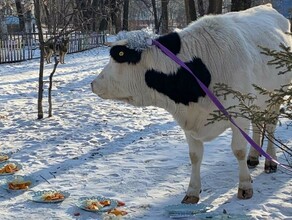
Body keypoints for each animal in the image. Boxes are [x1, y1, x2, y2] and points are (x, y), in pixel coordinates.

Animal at [92, 4, 292, 204]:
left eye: (117, 58)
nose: (93, 84)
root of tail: (267, 6)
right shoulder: (188, 119)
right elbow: (195, 156)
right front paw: (192, 191)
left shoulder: (238, 115)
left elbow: (238, 150)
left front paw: (244, 187)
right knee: (258, 126)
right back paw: (253, 157)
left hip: (276, 95)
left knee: (270, 127)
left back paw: (270, 161)